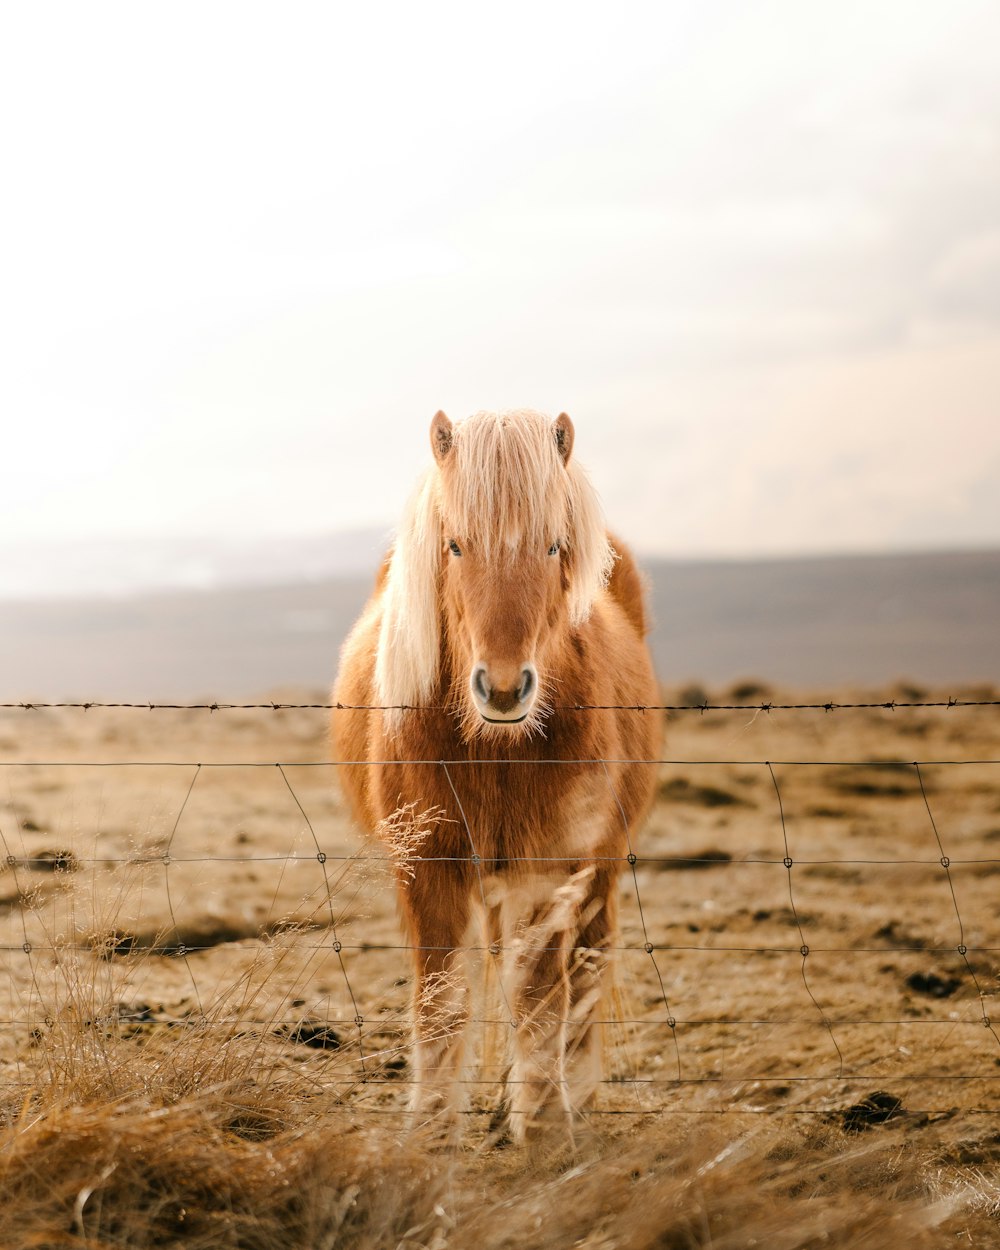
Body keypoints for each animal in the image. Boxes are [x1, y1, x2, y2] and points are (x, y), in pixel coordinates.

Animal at [332, 407, 665, 1145]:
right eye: (455, 546)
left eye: (553, 546)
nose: (506, 689)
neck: (492, 748)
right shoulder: (426, 868)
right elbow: (442, 1000)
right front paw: (432, 1130)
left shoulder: (548, 872)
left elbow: (541, 999)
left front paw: (541, 1125)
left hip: (599, 869)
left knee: (587, 971)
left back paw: (577, 1097)